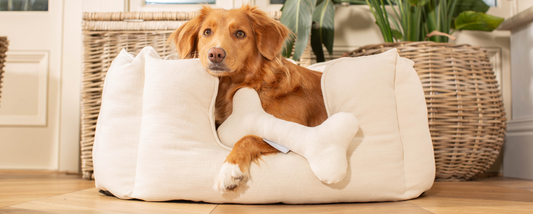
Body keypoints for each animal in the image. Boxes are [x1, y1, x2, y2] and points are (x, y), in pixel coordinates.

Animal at [170, 5, 328, 192]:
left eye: (240, 33)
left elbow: (248, 137)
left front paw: (230, 169)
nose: (215, 54)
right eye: (207, 32)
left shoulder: (295, 130)